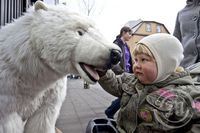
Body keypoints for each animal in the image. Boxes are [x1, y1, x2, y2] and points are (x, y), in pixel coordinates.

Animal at [0, 1, 121, 133]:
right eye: (80, 32)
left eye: (98, 31)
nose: (116, 54)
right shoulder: (8, 92)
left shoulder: (50, 92)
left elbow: (42, 121)